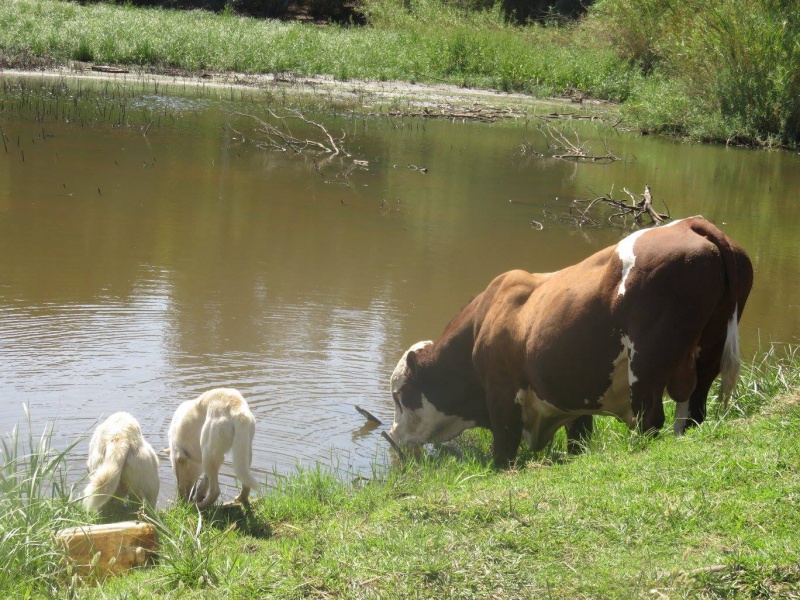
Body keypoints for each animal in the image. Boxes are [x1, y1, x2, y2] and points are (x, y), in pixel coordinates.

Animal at [388, 217, 752, 468]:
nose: (392, 436)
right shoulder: (577, 398)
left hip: (646, 366)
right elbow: (579, 438)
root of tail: (691, 223)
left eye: (400, 395)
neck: (484, 320)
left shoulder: (503, 394)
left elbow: (503, 450)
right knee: (693, 410)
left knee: (650, 420)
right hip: (707, 355)